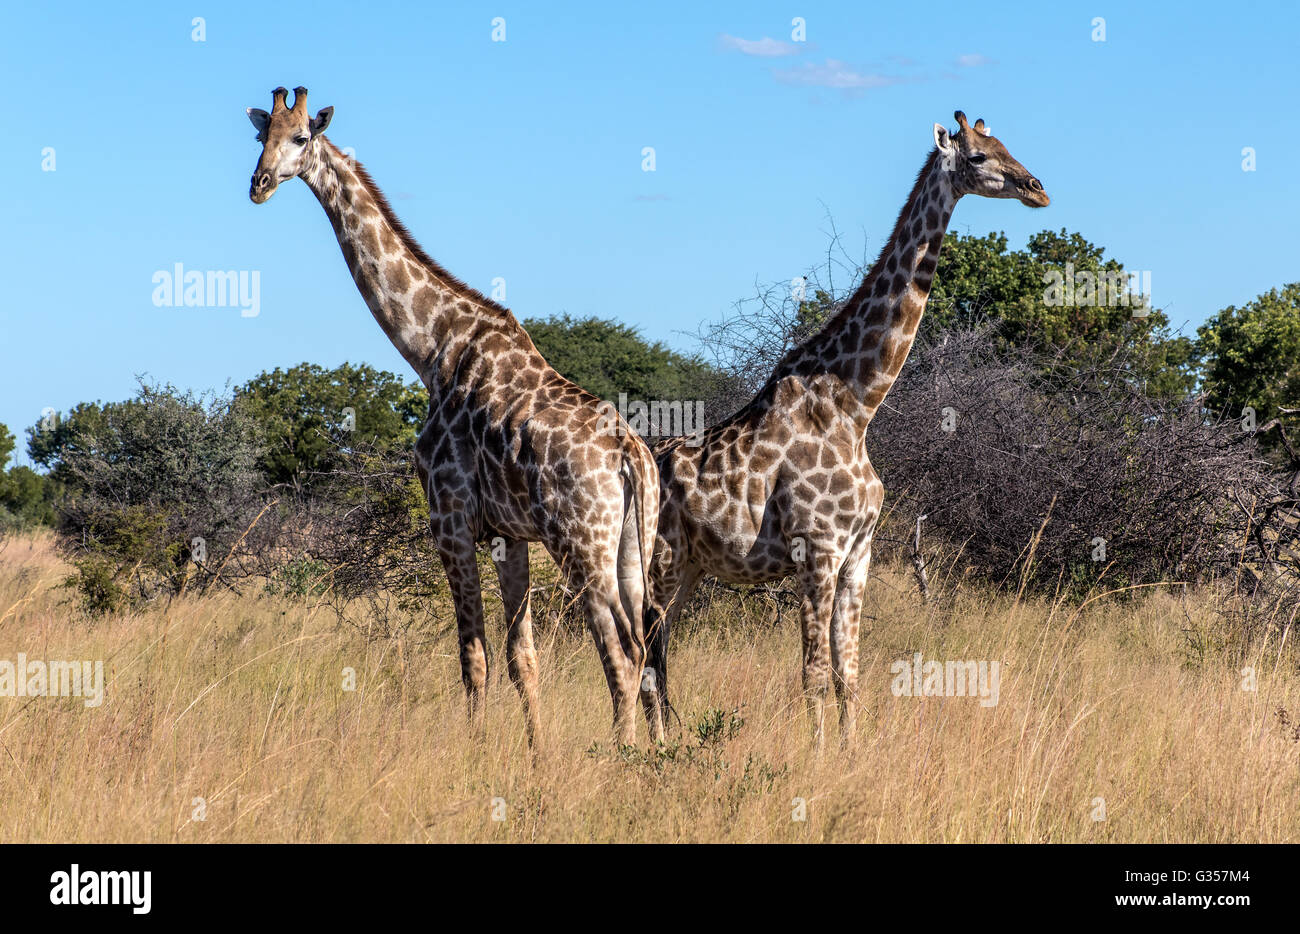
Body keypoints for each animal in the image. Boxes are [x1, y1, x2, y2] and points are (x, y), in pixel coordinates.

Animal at [248, 85, 665, 744]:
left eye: (300, 138)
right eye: (258, 136)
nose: (258, 184)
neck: (432, 347)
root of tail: (630, 455)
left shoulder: (449, 518)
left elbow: (474, 658)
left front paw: (477, 755)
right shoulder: (509, 534)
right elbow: (523, 659)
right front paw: (536, 757)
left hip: (581, 543)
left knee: (621, 654)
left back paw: (623, 757)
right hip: (630, 546)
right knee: (647, 648)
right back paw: (658, 755)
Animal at [644, 113, 1050, 749]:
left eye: (1007, 143)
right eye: (980, 155)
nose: (1037, 188)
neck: (856, 408)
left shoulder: (858, 553)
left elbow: (848, 673)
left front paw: (850, 753)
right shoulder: (818, 549)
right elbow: (811, 673)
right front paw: (816, 759)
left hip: (686, 570)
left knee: (656, 662)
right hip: (657, 565)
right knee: (642, 662)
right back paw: (647, 752)